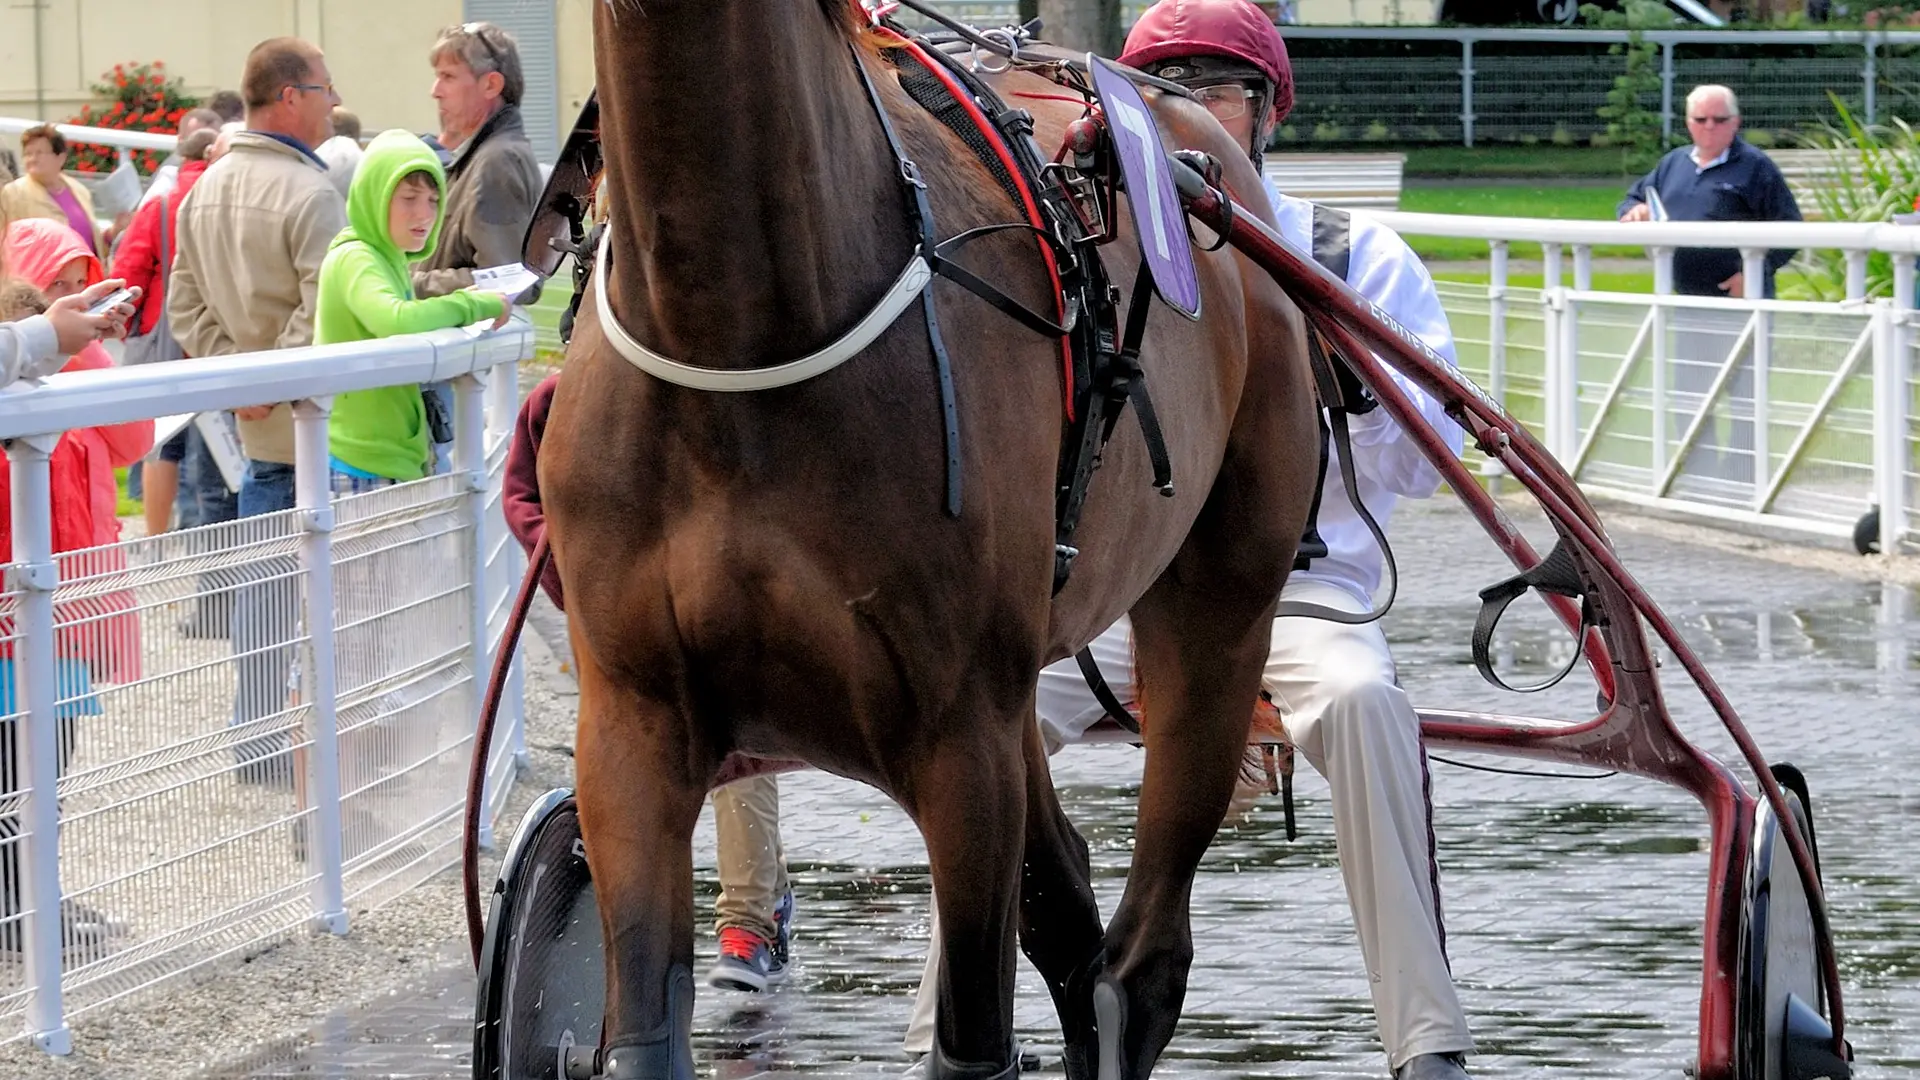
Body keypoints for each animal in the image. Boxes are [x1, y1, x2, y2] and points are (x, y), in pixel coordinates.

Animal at [541, 4, 1320, 1068]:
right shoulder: (632, 721)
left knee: (1141, 963)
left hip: (1218, 606)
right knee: (1066, 909)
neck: (735, 328)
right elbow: (641, 1035)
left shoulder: (960, 741)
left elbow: (975, 1038)